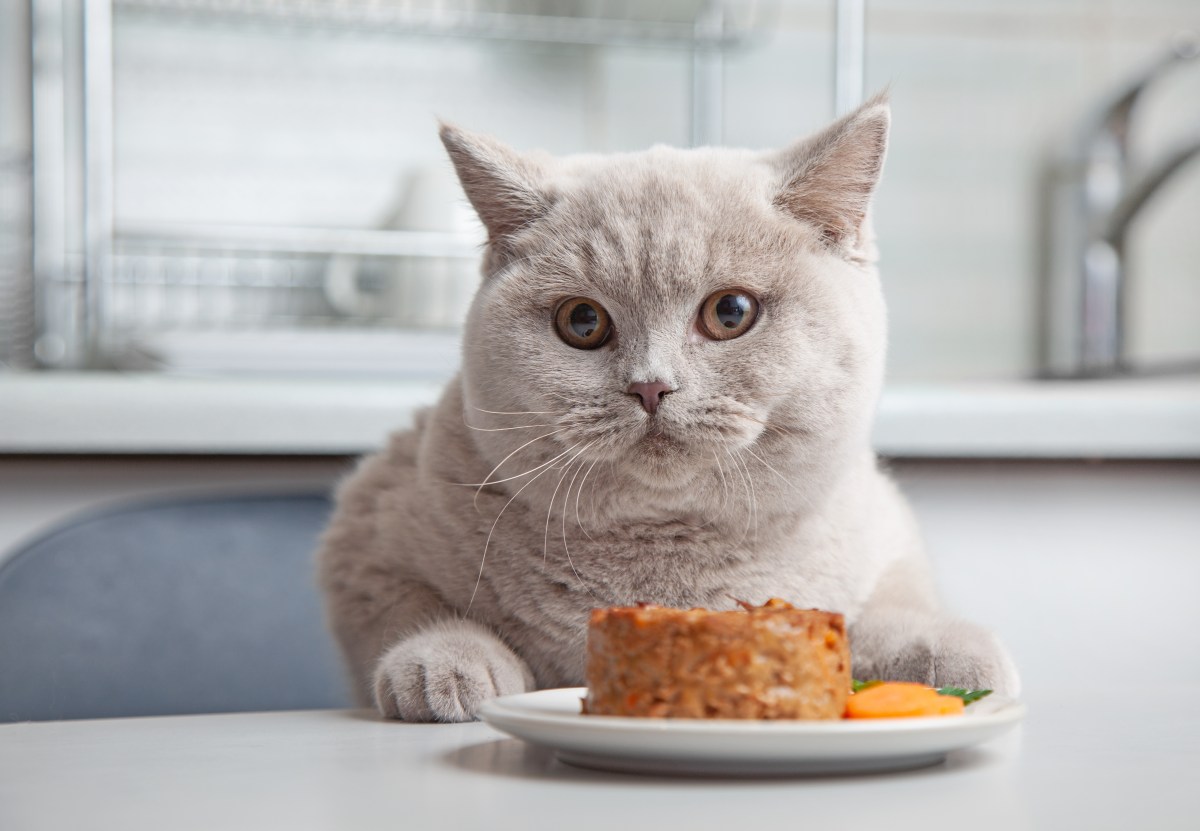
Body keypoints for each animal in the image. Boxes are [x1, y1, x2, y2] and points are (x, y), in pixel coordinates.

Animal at [314, 95, 1017, 720]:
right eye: (582, 321)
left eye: (730, 312)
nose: (651, 386)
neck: (669, 556)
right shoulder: (365, 537)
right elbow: (411, 607)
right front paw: (444, 665)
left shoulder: (888, 541)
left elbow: (886, 612)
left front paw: (951, 657)